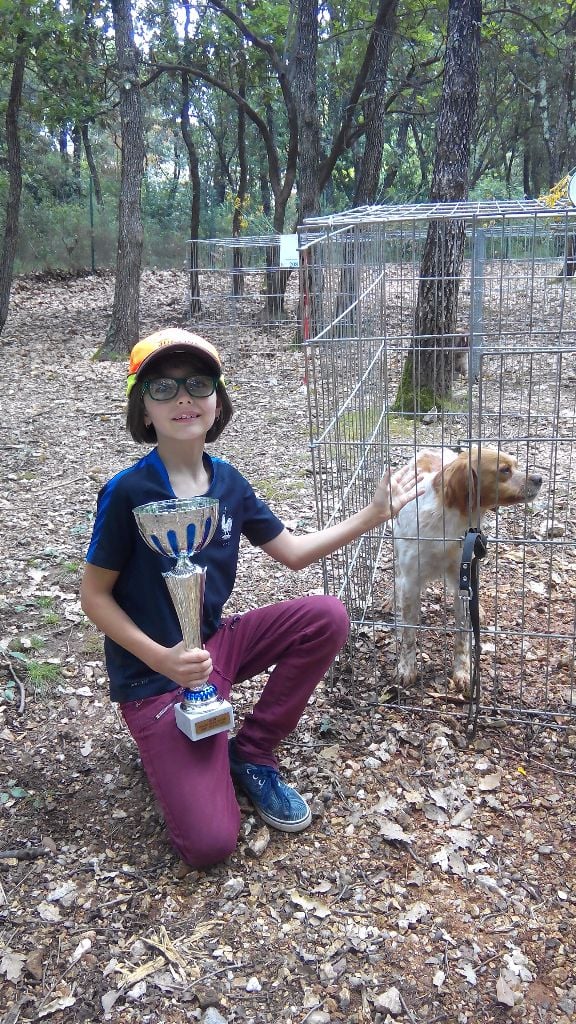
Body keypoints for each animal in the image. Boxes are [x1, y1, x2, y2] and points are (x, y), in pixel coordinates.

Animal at [387, 446, 541, 688]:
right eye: (505, 470)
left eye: (515, 465)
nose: (539, 478)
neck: (448, 523)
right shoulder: (411, 581)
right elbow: (409, 633)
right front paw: (406, 668)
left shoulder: (464, 574)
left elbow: (462, 633)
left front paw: (463, 671)